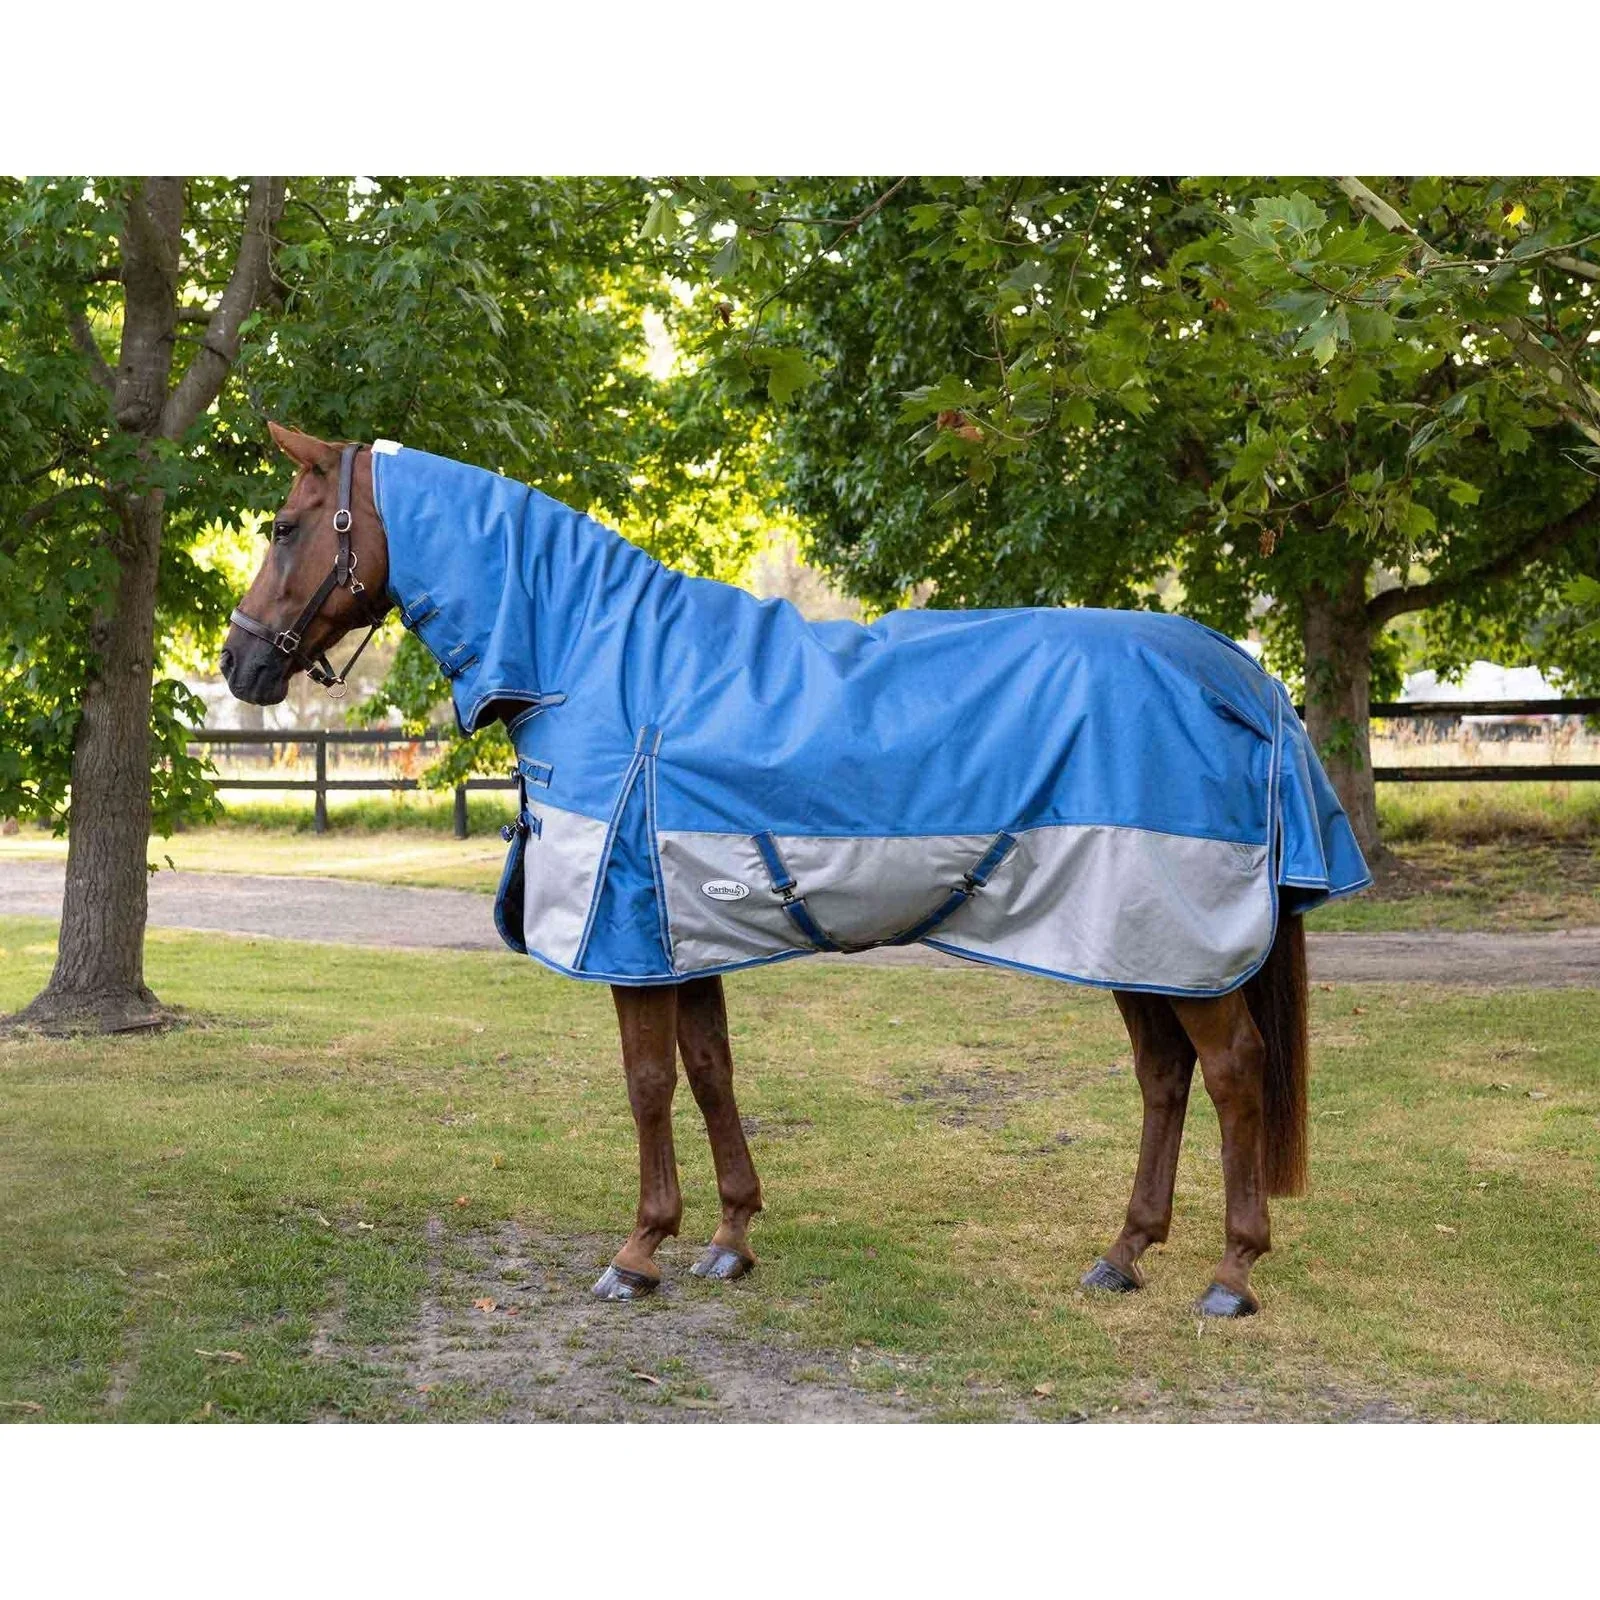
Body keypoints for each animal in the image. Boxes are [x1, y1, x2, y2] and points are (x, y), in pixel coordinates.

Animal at [222, 423, 1369, 1318]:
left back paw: (1231, 1274)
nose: (241, 664)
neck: (594, 659)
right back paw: (1122, 1255)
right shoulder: (680, 931)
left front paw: (639, 1251)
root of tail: (1245, 678)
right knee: (1163, 1077)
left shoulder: (628, 935)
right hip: (1129, 941)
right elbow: (710, 1072)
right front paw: (729, 1238)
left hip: (1176, 939)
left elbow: (646, 1084)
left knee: (1233, 1075)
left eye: (284, 527)